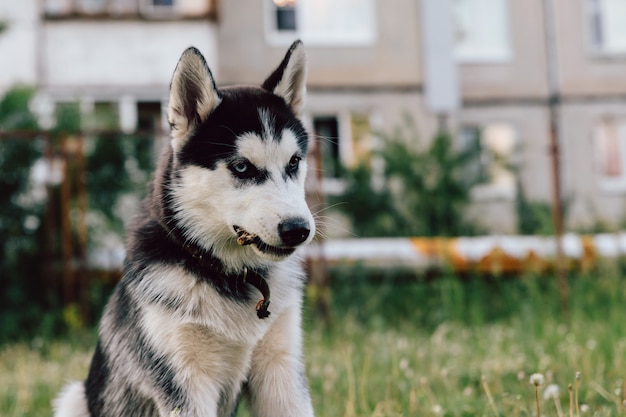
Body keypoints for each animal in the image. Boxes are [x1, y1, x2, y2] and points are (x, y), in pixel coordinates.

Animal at [53, 39, 314, 416]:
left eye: (294, 162)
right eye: (241, 167)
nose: (298, 229)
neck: (232, 276)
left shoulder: (281, 370)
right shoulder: (184, 380)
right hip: (74, 397)